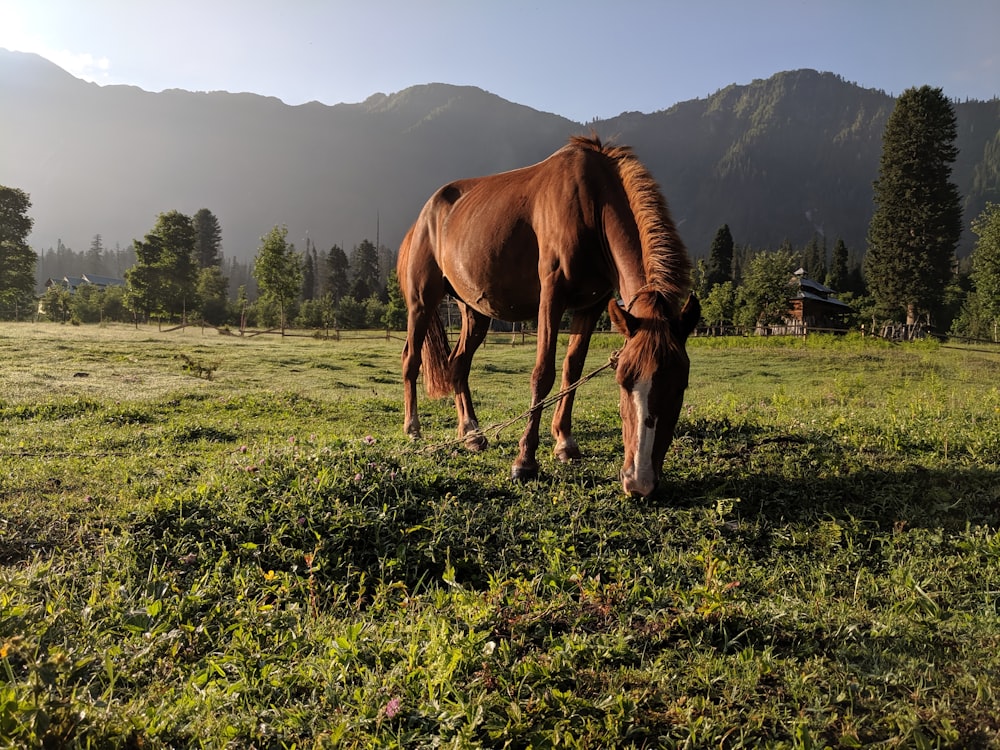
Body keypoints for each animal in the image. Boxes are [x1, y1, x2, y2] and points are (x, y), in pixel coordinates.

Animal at [394, 135, 700, 500]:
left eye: (680, 385)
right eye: (623, 382)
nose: (639, 481)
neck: (591, 202)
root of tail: (423, 217)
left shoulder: (592, 304)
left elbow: (572, 370)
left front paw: (565, 442)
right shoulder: (551, 294)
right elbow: (543, 374)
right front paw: (525, 461)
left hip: (475, 311)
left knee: (458, 364)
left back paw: (471, 433)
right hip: (422, 302)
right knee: (411, 359)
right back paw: (413, 428)